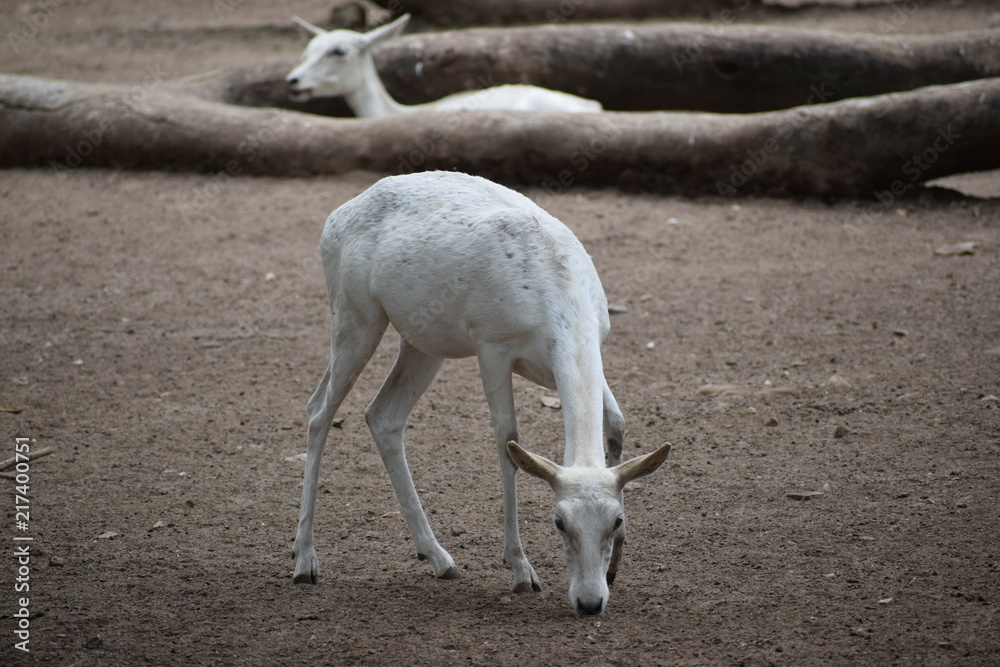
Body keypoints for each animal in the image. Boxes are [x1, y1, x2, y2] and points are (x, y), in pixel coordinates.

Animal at [293, 171, 671, 616]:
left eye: (617, 520)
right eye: (558, 521)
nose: (590, 602)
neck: (556, 289)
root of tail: (337, 215)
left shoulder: (589, 351)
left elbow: (616, 424)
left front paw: (614, 570)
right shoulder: (493, 348)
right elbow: (508, 440)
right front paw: (522, 570)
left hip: (423, 342)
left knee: (381, 414)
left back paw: (440, 559)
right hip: (356, 317)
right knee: (320, 410)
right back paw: (304, 561)